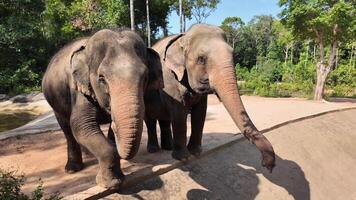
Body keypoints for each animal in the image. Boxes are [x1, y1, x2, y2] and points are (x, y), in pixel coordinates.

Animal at [42, 28, 163, 188]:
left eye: (145, 77)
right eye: (101, 78)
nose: (115, 124)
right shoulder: (79, 89)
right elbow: (81, 125)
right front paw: (111, 183)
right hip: (55, 102)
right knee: (67, 130)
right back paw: (72, 169)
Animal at [144, 23, 276, 172]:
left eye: (233, 55)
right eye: (201, 59)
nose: (268, 165)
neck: (183, 37)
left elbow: (200, 112)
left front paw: (196, 153)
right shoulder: (169, 81)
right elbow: (179, 113)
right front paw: (183, 158)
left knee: (164, 119)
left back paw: (168, 147)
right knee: (149, 120)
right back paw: (153, 150)